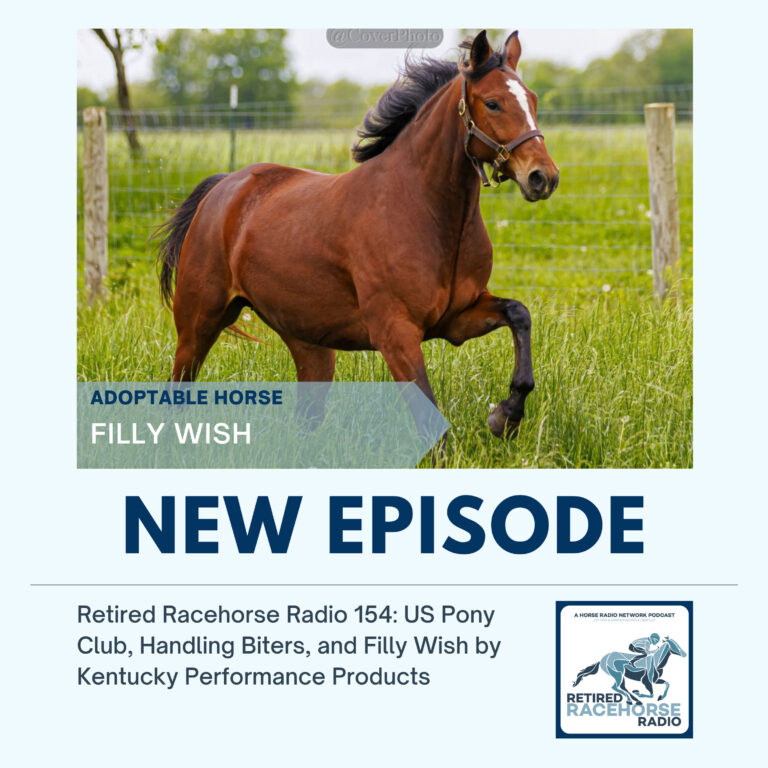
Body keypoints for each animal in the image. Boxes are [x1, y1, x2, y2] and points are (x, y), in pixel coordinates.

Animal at [155, 30, 559, 438]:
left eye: (533, 100)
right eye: (492, 103)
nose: (543, 177)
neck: (429, 213)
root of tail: (223, 188)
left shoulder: (457, 319)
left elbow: (519, 313)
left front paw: (505, 416)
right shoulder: (396, 335)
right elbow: (431, 424)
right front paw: (500, 419)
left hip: (311, 346)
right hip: (198, 326)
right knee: (176, 393)